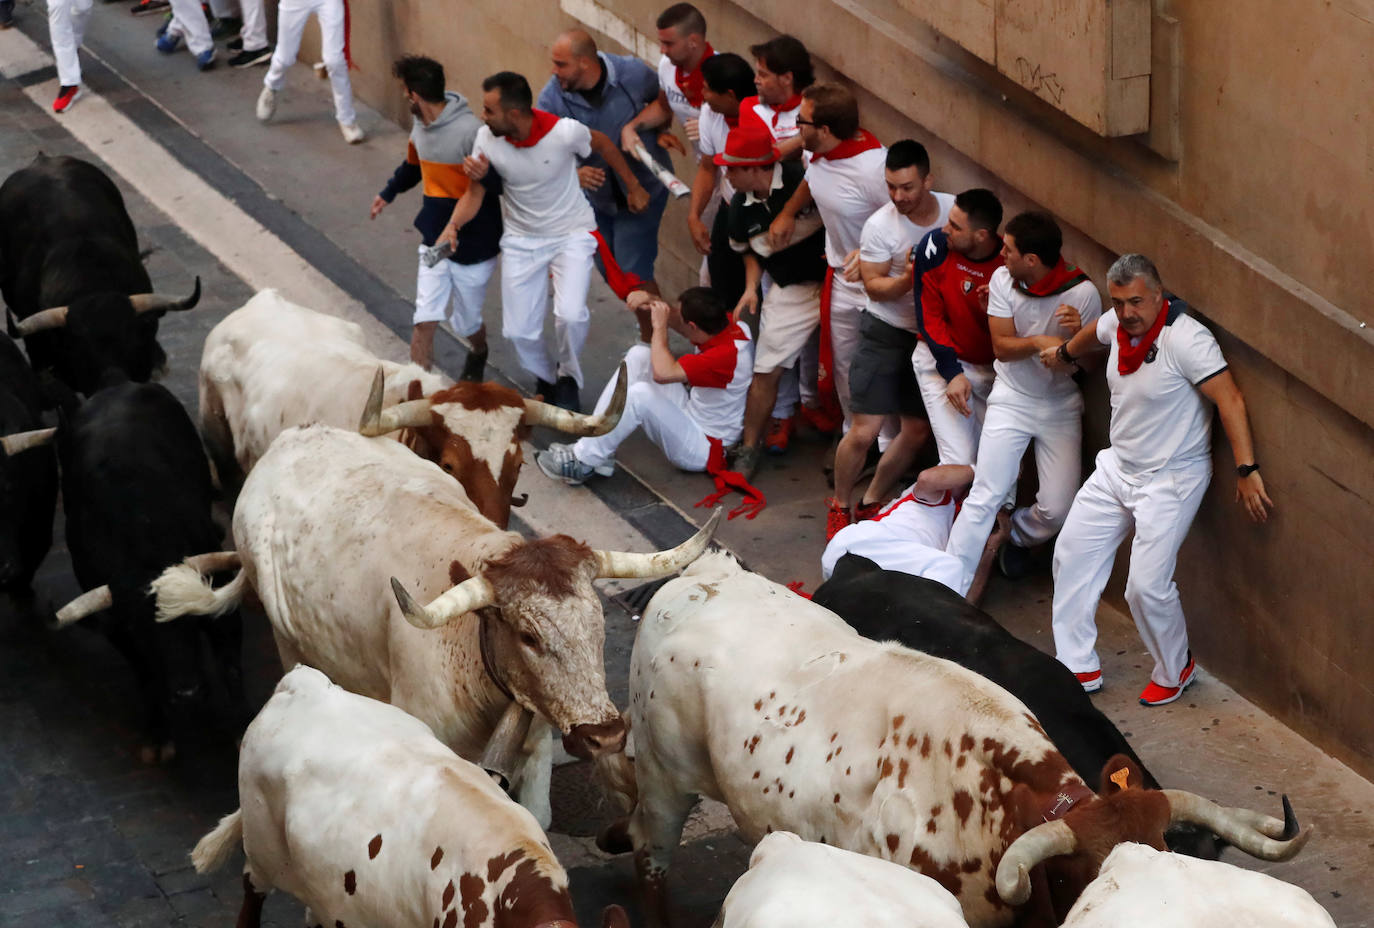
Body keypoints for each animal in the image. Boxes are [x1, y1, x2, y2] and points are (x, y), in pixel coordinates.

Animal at [59, 382, 243, 758]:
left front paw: (241, 727)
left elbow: (230, 660)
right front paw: (158, 734)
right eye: (140, 630)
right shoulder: (118, 629)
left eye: (192, 620)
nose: (187, 693)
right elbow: (144, 674)